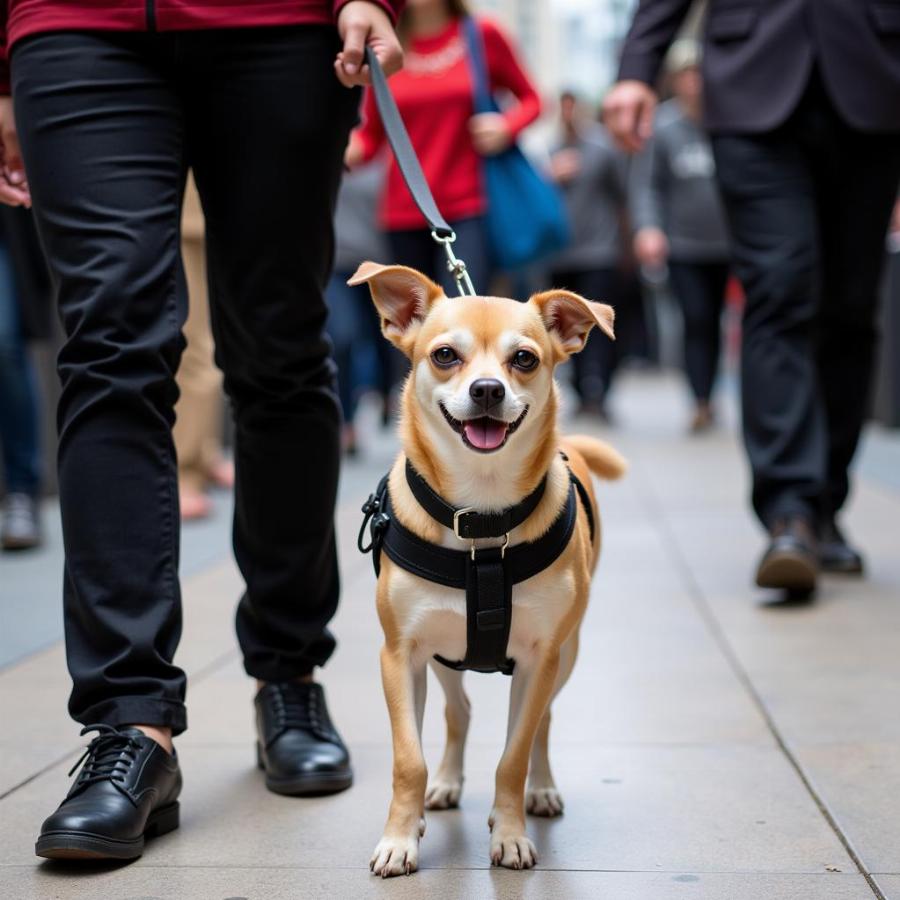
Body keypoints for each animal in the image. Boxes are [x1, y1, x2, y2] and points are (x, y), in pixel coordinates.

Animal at [350, 262, 624, 880]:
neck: (481, 510)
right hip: (443, 654)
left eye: (523, 358)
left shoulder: (541, 658)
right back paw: (447, 783)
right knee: (459, 711)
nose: (487, 390)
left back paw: (540, 790)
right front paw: (400, 838)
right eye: (444, 355)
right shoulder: (399, 655)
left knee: (542, 723)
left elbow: (513, 755)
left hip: (565, 654)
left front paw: (511, 834)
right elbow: (408, 759)